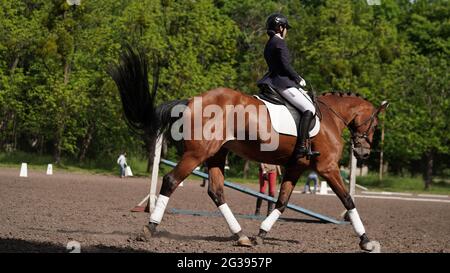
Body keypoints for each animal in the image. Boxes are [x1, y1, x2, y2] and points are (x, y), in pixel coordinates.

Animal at [108, 47, 386, 253]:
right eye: (375, 125)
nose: (363, 154)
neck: (330, 117)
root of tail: (191, 100)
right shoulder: (327, 167)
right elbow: (348, 200)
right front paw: (367, 241)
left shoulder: (296, 166)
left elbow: (281, 202)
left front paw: (260, 234)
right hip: (197, 154)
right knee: (171, 180)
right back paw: (149, 229)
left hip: (216, 155)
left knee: (216, 191)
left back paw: (240, 236)